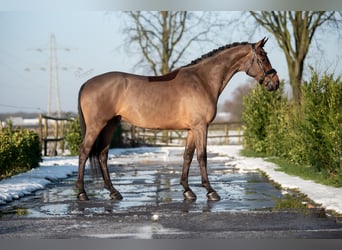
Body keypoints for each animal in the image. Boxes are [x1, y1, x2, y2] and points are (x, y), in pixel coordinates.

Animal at [76, 37, 280, 201]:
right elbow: (202, 156)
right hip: (96, 125)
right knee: (84, 152)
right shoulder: (201, 127)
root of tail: (87, 83)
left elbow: (187, 156)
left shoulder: (192, 129)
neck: (202, 81)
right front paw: (211, 191)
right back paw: (82, 193)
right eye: (263, 57)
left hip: (110, 124)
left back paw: (114, 192)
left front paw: (188, 190)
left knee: (102, 154)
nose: (275, 83)